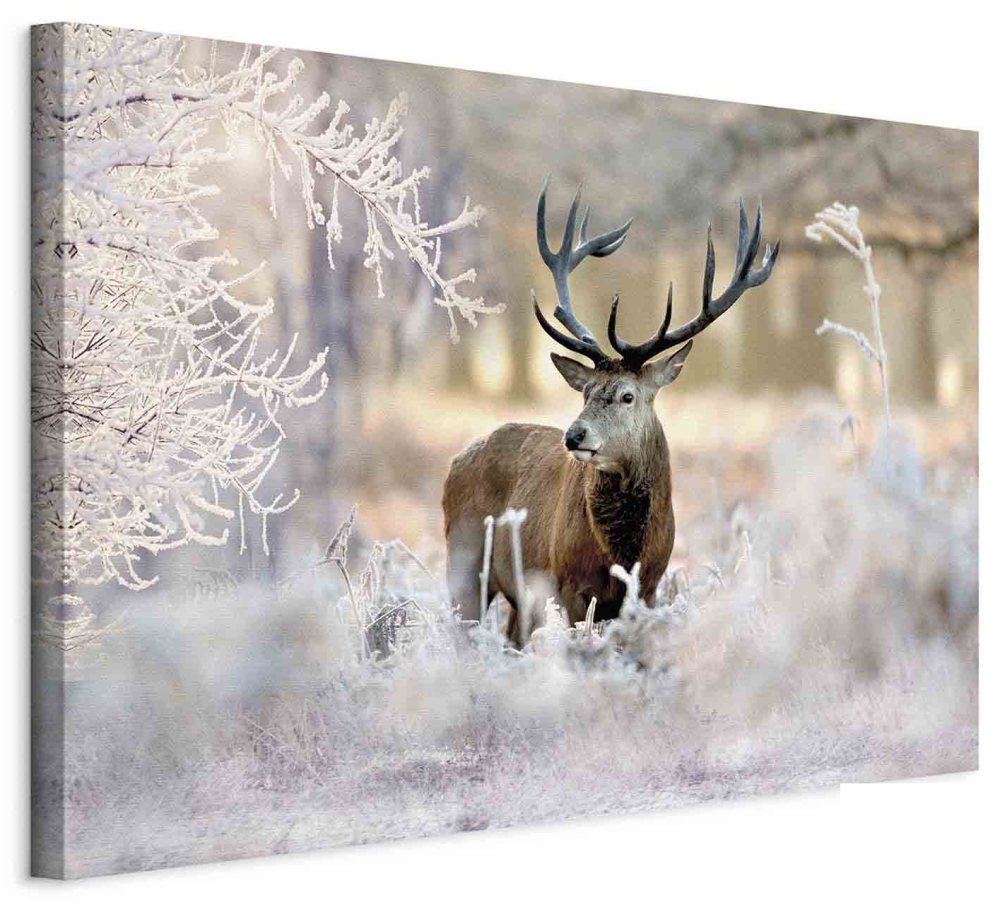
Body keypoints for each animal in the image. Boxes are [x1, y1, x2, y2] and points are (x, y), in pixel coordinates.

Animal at [443, 180, 779, 645]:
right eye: (585, 392)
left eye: (627, 396)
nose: (574, 435)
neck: (623, 552)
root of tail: (456, 462)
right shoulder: (567, 584)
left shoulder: (650, 587)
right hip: (464, 561)